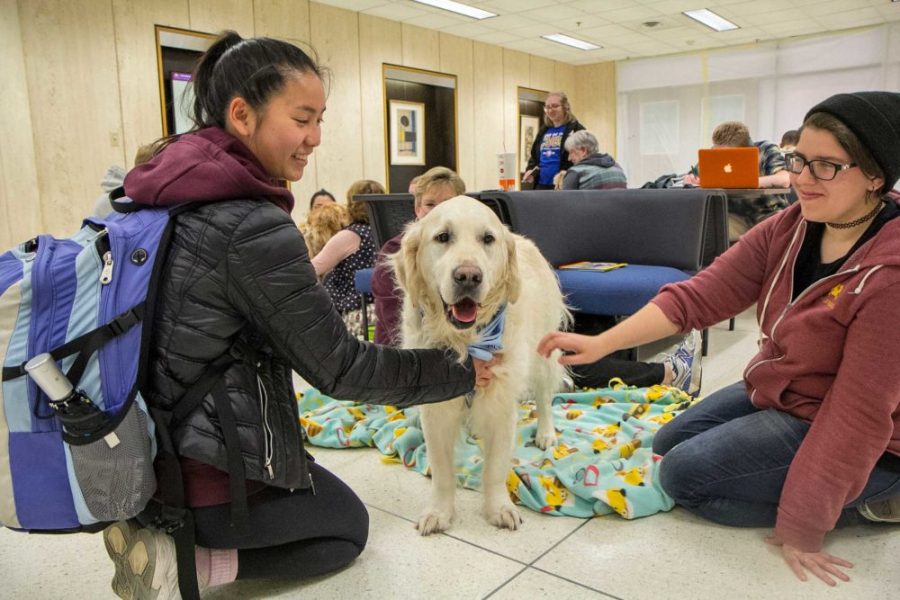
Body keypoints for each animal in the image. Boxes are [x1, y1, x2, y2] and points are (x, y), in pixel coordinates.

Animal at [390, 196, 568, 536]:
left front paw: (499, 508)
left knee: (544, 397)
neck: (465, 341)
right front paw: (439, 512)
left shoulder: (501, 403)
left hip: (542, 354)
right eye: (442, 237)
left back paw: (546, 432)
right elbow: (442, 471)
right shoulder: (437, 406)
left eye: (488, 239)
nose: (469, 276)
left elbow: (495, 467)